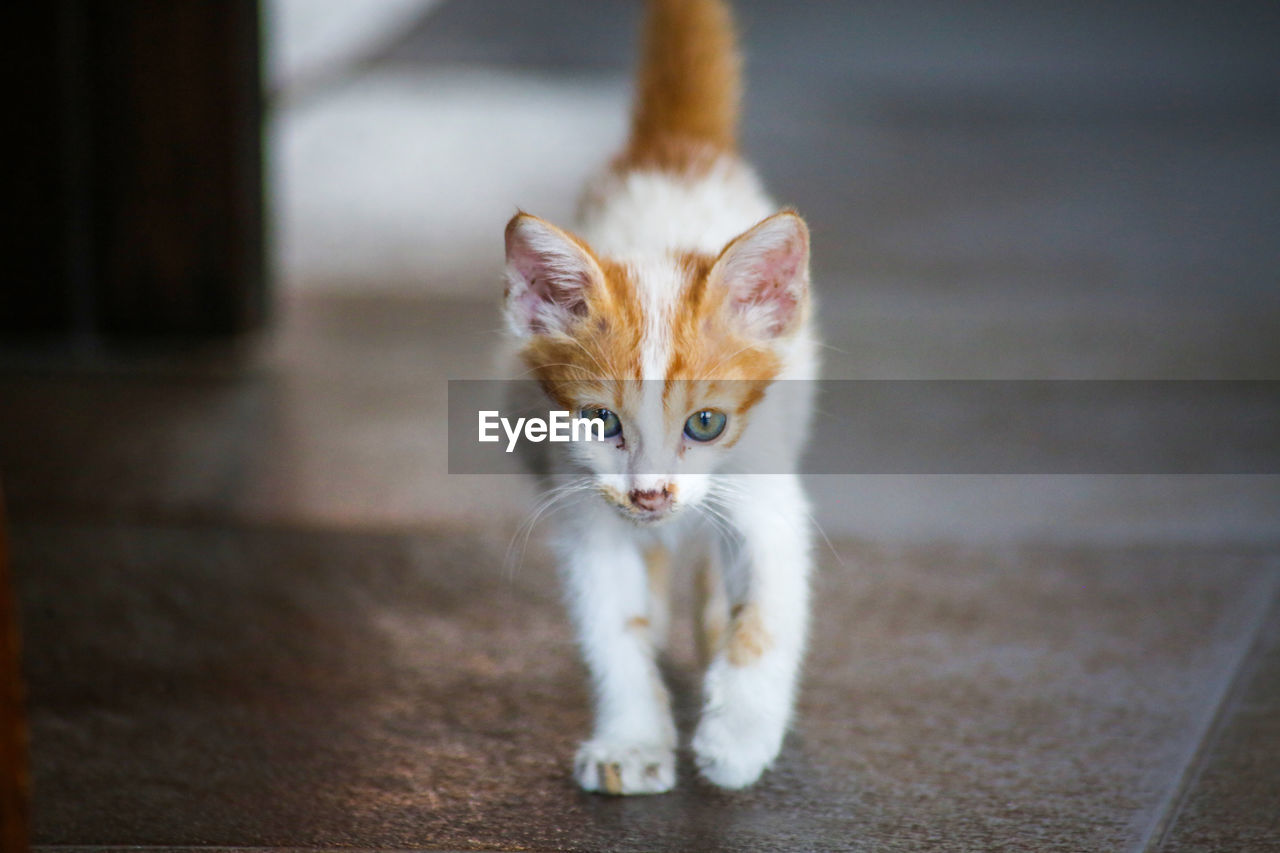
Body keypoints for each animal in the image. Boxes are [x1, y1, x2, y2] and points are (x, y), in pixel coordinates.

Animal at [501, 0, 819, 788]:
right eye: (600, 420)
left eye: (705, 423)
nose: (650, 495)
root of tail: (671, 150)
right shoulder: (585, 510)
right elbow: (614, 629)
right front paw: (633, 740)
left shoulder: (764, 486)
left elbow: (768, 610)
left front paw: (739, 734)